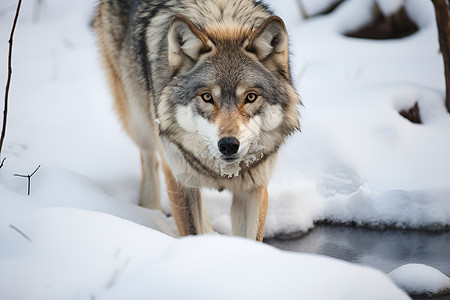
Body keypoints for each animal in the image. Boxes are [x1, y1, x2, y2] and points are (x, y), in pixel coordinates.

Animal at [92, 0, 300, 240]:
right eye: (207, 97)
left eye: (250, 97)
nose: (228, 145)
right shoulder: (180, 181)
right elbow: (190, 230)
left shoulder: (253, 189)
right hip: (138, 118)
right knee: (148, 156)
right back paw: (150, 212)